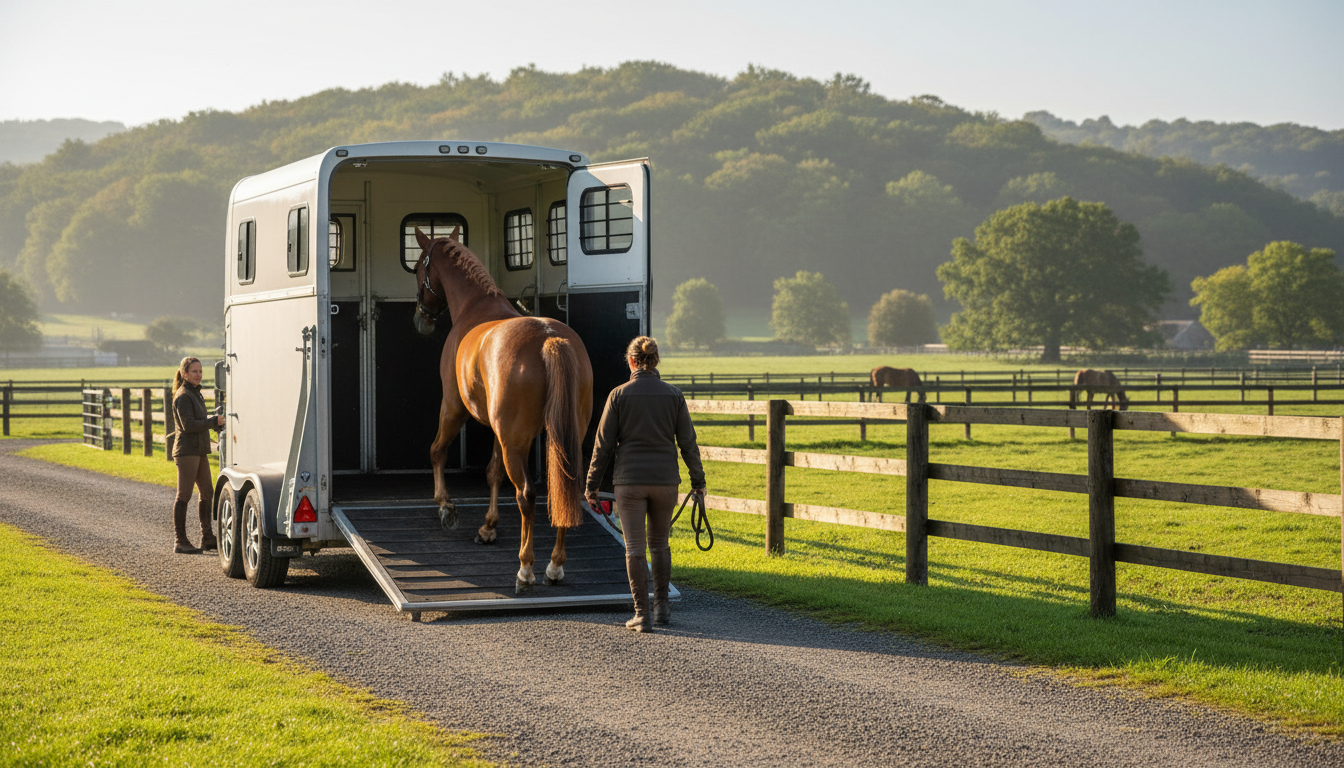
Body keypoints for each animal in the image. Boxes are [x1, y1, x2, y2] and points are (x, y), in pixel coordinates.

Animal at [411, 227, 594, 594]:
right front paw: (489, 527)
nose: (421, 317)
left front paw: (446, 507)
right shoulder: (499, 430)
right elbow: (493, 472)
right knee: (565, 489)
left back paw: (526, 569)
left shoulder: (453, 408)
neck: (475, 307)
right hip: (555, 439)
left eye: (417, 266)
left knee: (526, 495)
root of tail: (550, 339)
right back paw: (555, 566)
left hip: (515, 441)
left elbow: (438, 451)